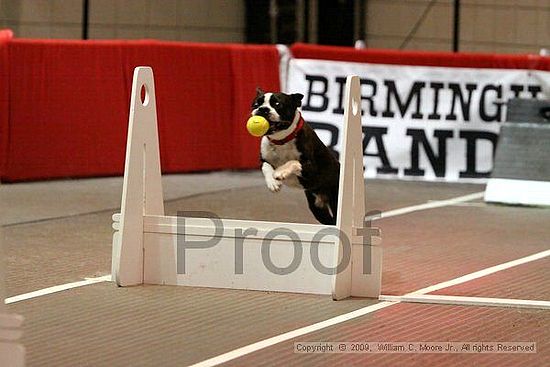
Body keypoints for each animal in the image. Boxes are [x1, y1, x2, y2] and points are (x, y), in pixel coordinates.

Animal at [253, 90, 340, 224]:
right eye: (256, 104)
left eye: (277, 104)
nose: (263, 109)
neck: (281, 141)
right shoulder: (263, 159)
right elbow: (266, 167)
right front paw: (273, 182)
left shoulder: (312, 170)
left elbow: (293, 161)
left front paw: (281, 172)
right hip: (317, 208)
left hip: (335, 200)